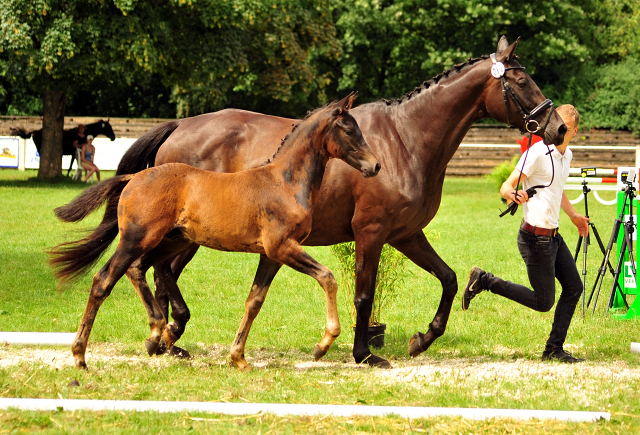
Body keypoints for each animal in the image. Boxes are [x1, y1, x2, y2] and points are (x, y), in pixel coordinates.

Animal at [51, 93, 380, 370]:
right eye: (348, 130)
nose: (375, 166)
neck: (284, 182)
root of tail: (134, 177)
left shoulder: (272, 255)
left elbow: (254, 301)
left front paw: (238, 358)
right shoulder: (283, 247)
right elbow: (327, 277)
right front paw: (323, 344)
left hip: (170, 241)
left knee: (139, 269)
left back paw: (158, 333)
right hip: (136, 239)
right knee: (103, 280)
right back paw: (81, 356)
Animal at [87, 36, 568, 368]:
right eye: (521, 80)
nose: (558, 127)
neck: (405, 140)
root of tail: (180, 126)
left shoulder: (407, 234)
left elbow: (449, 280)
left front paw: (422, 339)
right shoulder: (371, 234)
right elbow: (363, 294)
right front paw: (363, 353)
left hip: (183, 236)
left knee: (154, 271)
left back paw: (167, 338)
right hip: (180, 236)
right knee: (150, 270)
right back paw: (166, 334)